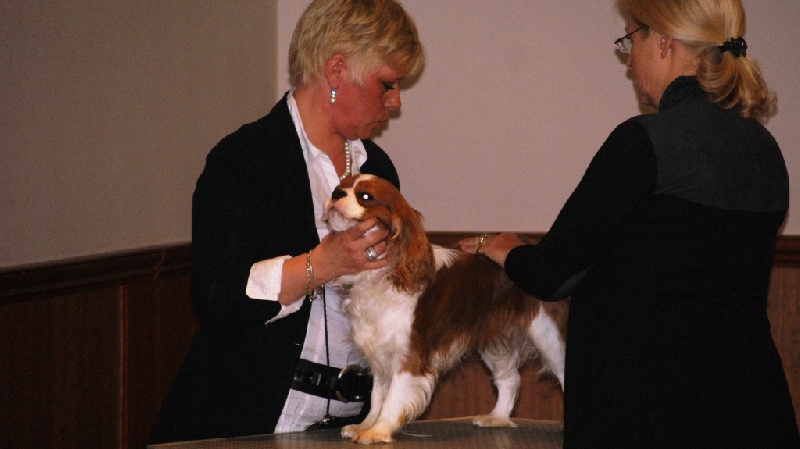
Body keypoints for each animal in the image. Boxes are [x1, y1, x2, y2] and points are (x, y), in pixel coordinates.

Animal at [323, 174, 567, 444]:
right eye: (342, 186)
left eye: (365, 197)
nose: (335, 193)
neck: (382, 273)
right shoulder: (381, 352)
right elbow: (378, 395)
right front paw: (365, 425)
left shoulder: (409, 355)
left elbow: (393, 397)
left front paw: (378, 430)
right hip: (496, 342)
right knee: (510, 379)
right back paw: (497, 418)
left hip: (548, 334)